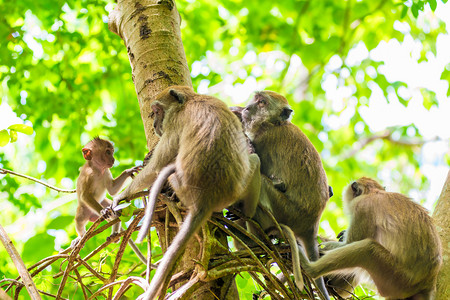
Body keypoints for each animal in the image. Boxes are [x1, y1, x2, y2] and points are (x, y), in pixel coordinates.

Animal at [110, 85, 262, 300]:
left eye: (157, 111)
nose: (155, 123)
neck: (191, 100)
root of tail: (206, 199)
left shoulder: (174, 123)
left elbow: (156, 167)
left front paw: (121, 196)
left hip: (183, 187)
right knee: (255, 161)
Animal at [232, 91, 330, 300]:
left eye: (262, 102)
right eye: (255, 99)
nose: (247, 108)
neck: (275, 124)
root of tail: (311, 224)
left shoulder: (263, 138)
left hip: (287, 211)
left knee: (261, 182)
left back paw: (253, 240)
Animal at [298, 177, 442, 298]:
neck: (373, 192)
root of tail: (429, 281)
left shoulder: (362, 206)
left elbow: (350, 243)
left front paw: (324, 246)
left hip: (398, 280)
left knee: (367, 249)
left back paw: (310, 268)